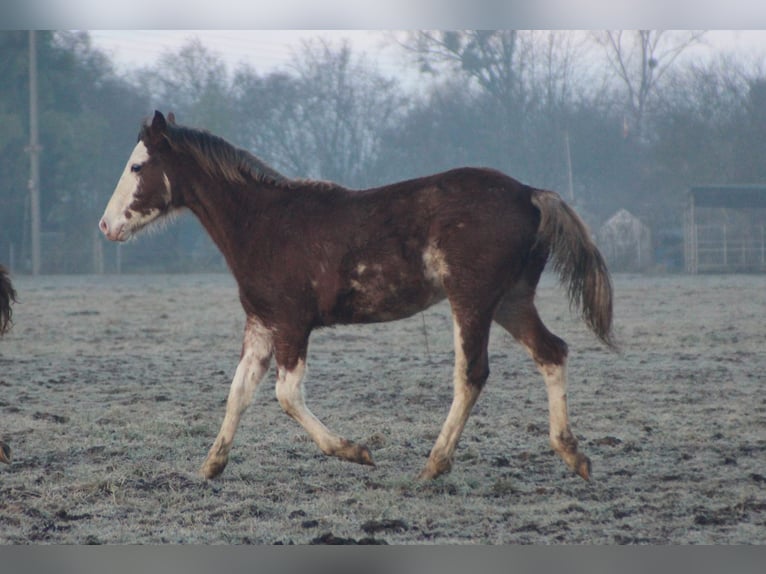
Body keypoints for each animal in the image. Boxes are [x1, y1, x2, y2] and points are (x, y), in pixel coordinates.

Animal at [99, 111, 614, 482]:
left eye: (137, 166)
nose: (106, 226)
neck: (265, 224)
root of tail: (530, 193)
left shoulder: (291, 323)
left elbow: (286, 395)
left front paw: (355, 452)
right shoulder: (261, 323)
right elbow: (238, 392)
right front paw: (210, 466)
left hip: (471, 300)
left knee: (471, 375)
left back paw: (433, 465)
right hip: (510, 300)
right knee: (552, 352)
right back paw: (572, 455)